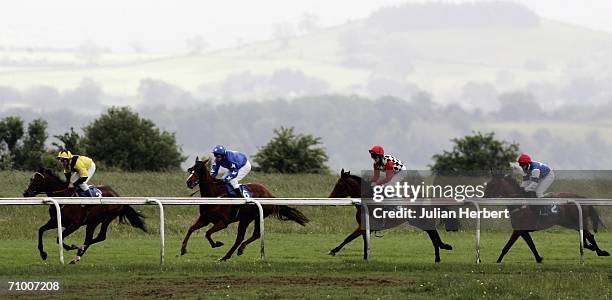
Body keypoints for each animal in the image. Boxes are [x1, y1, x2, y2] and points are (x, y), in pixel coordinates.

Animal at [179, 157, 308, 260]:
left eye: (199, 169)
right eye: (191, 169)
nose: (188, 182)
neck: (215, 196)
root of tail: (270, 194)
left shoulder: (223, 222)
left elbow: (207, 233)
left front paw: (217, 243)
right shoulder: (205, 219)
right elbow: (191, 229)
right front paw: (183, 249)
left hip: (253, 217)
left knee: (251, 235)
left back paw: (235, 251)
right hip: (246, 219)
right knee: (243, 237)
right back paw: (227, 256)